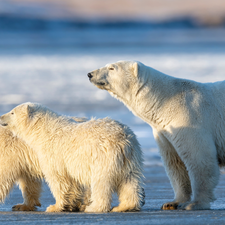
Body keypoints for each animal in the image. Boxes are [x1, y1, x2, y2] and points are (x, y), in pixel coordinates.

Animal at [0, 103, 144, 213]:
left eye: (12, 112)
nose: (1, 117)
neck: (44, 131)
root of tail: (124, 140)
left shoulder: (52, 153)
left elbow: (58, 179)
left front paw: (54, 207)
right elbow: (31, 181)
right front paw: (22, 205)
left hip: (103, 158)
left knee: (101, 183)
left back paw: (94, 207)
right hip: (131, 159)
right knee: (129, 181)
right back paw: (125, 206)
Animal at [87, 60, 225, 211]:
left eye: (112, 68)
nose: (90, 74)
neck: (166, 101)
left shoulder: (191, 118)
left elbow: (199, 159)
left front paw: (195, 204)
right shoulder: (165, 131)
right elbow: (175, 163)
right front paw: (172, 202)